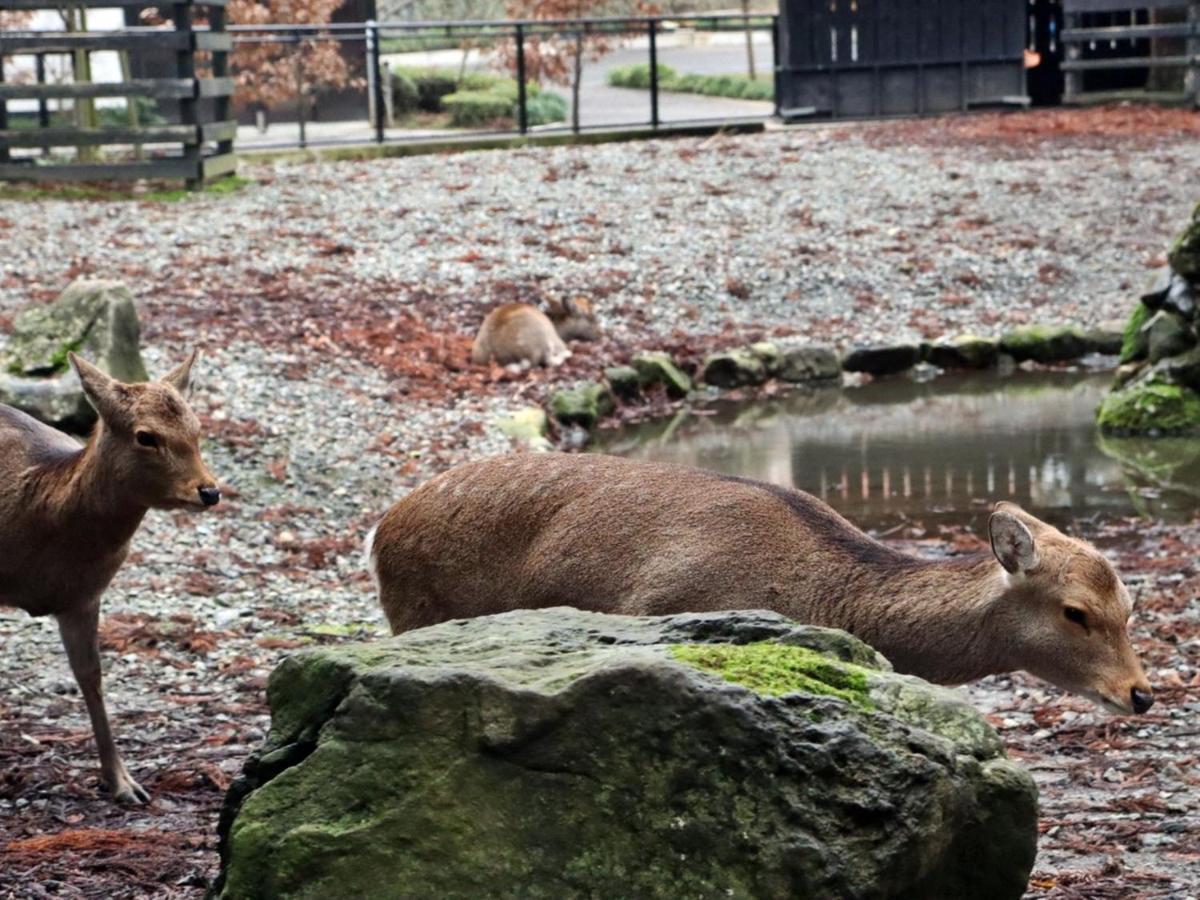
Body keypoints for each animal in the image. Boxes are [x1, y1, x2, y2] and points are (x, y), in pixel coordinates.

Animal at [1, 350, 222, 801]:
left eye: (197, 428)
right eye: (145, 436)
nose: (209, 491)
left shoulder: (84, 595)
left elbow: (91, 675)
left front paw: (123, 783)